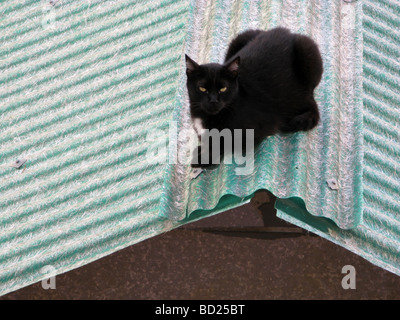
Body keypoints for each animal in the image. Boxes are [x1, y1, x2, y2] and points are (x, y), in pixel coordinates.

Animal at [186, 28, 324, 168]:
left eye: (223, 88)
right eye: (202, 88)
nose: (213, 100)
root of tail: (286, 31)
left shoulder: (258, 129)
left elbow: (226, 142)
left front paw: (204, 157)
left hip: (306, 51)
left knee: (310, 101)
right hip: (240, 38)